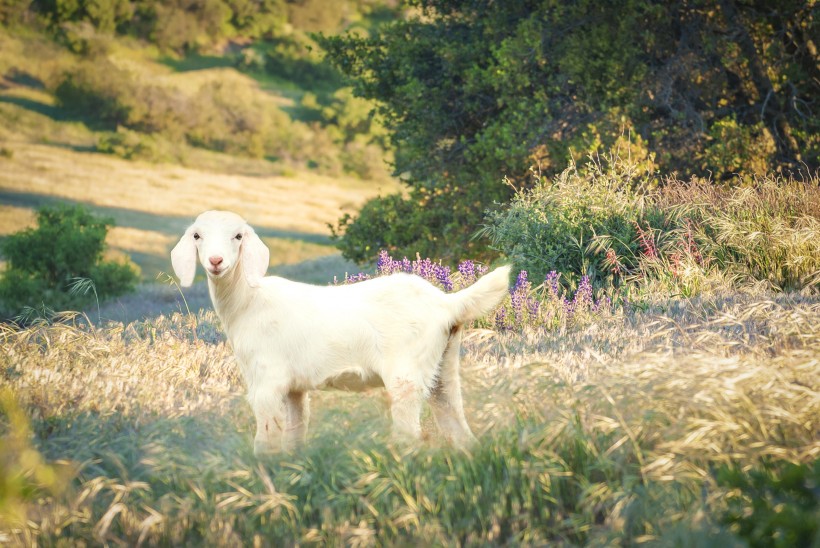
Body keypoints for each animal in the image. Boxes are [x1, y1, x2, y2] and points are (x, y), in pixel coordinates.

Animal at [171, 210, 510, 454]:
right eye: (198, 236)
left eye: (238, 236)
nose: (216, 261)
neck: (248, 301)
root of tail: (446, 303)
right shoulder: (294, 388)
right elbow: (295, 433)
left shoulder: (266, 381)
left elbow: (265, 440)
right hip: (443, 369)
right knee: (458, 427)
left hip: (406, 374)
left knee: (410, 435)